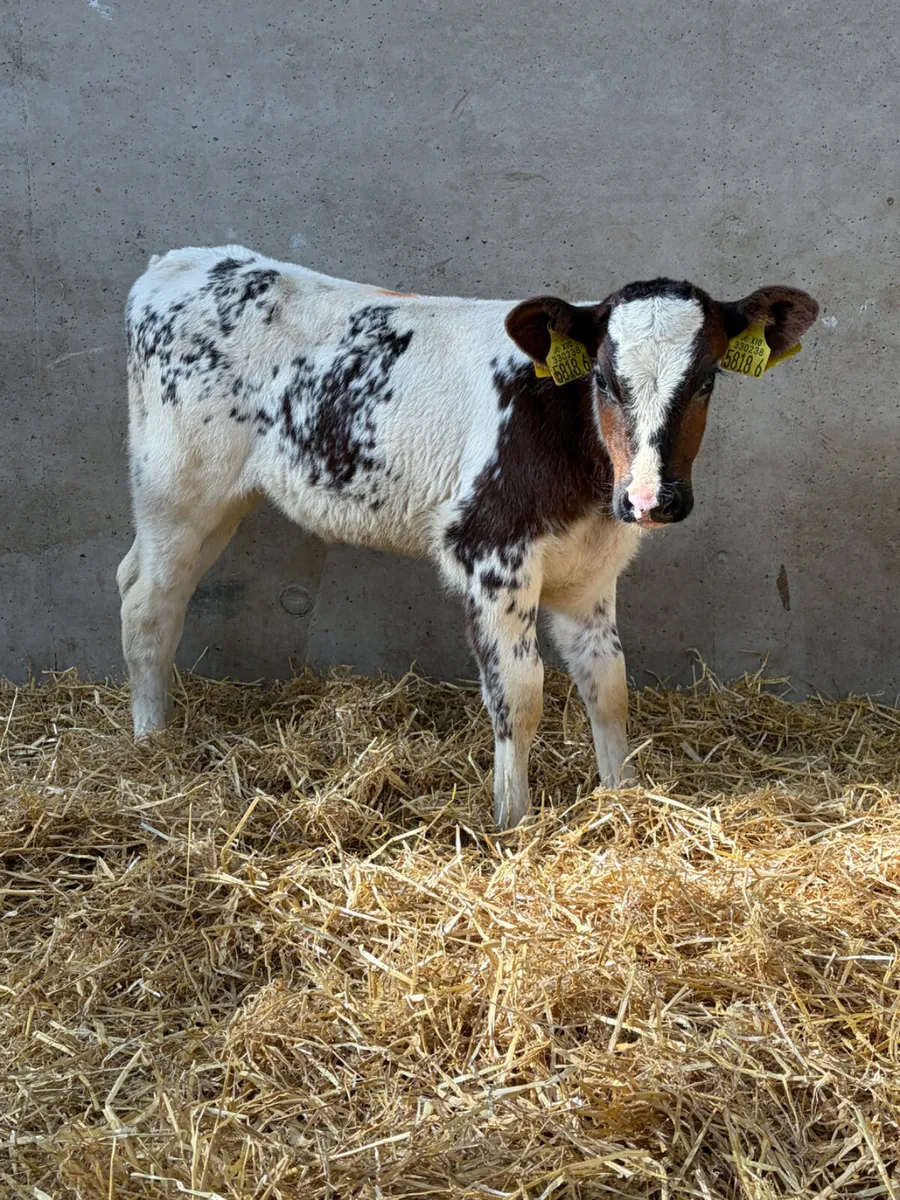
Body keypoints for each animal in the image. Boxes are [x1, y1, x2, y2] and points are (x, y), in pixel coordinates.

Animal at [117, 246, 818, 827]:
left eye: (706, 380)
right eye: (603, 380)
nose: (649, 499)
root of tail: (180, 262)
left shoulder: (591, 571)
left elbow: (609, 683)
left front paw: (622, 797)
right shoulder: (490, 551)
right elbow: (520, 691)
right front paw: (514, 821)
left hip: (218, 504)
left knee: (139, 580)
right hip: (176, 488)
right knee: (149, 603)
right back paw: (150, 743)